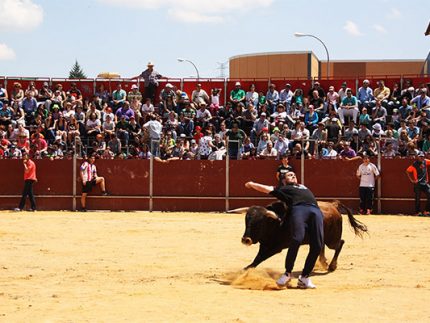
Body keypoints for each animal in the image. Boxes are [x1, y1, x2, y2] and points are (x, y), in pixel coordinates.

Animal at [230, 201, 368, 272]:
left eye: (259, 223)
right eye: (246, 221)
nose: (246, 240)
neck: (277, 223)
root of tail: (333, 205)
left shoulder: (276, 247)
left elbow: (259, 258)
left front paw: (245, 270)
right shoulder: (265, 244)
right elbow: (257, 258)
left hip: (332, 239)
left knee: (340, 243)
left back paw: (332, 266)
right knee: (322, 246)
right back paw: (323, 262)